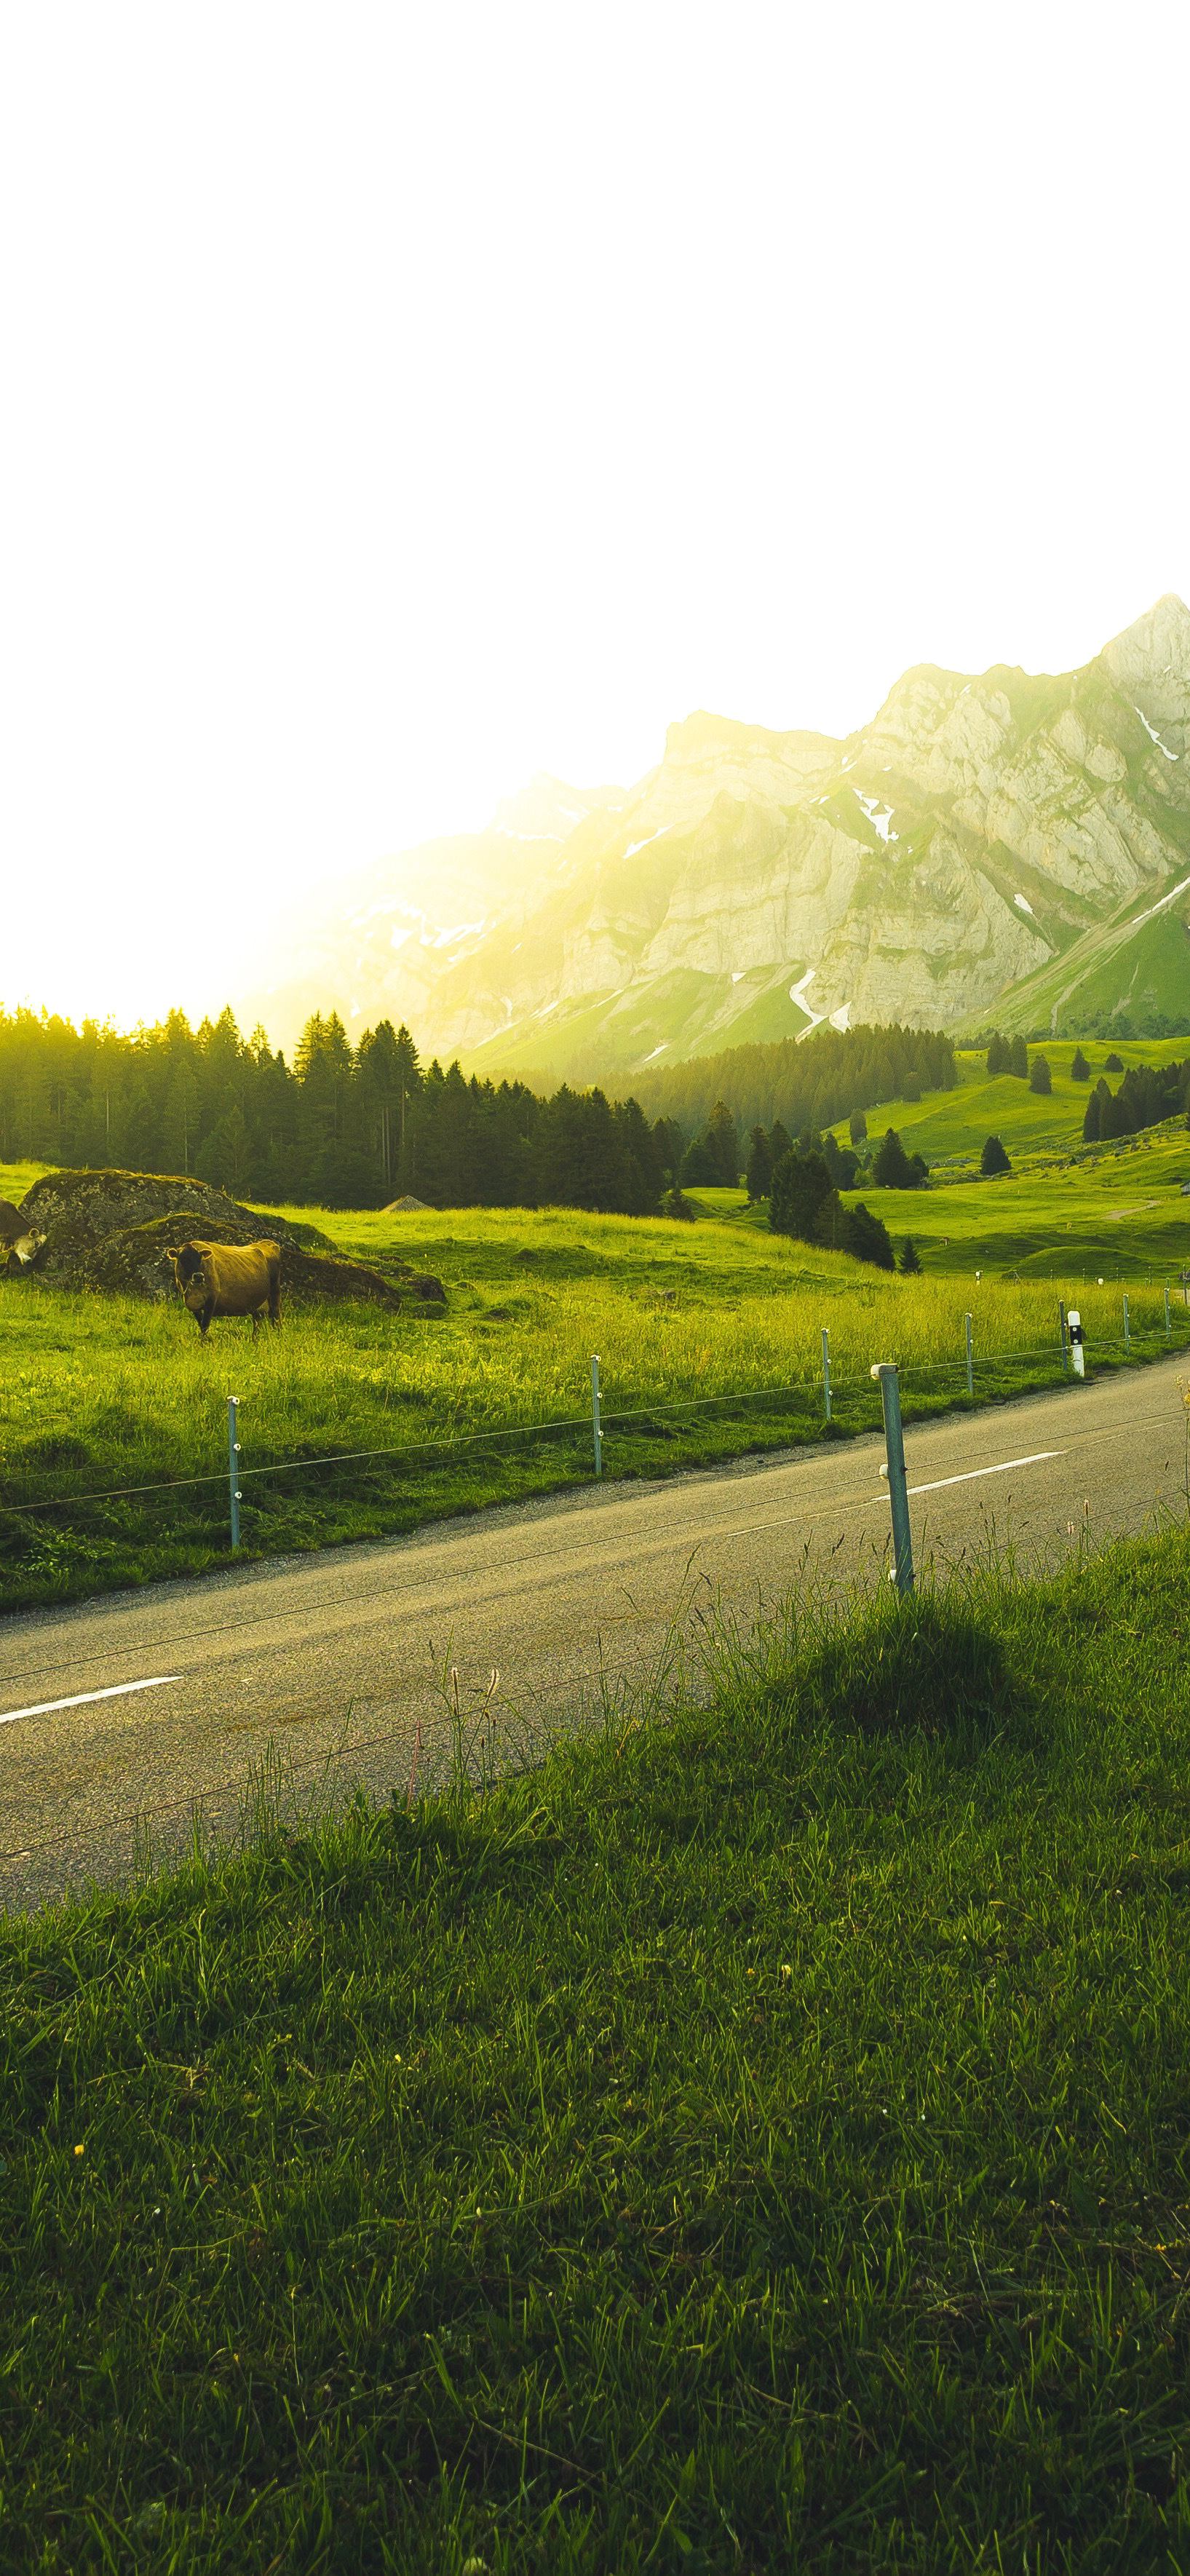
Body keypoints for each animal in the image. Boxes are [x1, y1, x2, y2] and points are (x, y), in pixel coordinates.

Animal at [166, 1236, 282, 1339]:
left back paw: (277, 1336)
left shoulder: (212, 1298)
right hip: (257, 1303)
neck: (193, 1291)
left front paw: (204, 1343)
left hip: (275, 1292)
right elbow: (201, 1324)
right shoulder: (193, 1305)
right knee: (258, 1321)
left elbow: (205, 1324)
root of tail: (266, 1242)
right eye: (183, 1258)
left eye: (200, 1259)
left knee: (276, 1317)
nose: (199, 1276)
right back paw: (254, 1340)